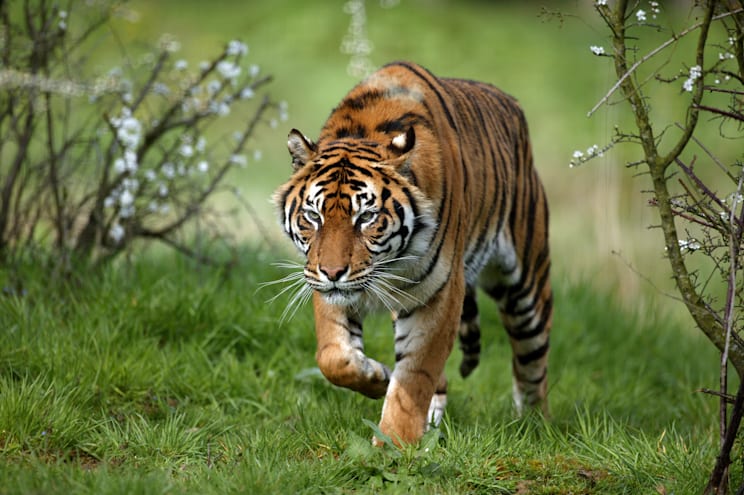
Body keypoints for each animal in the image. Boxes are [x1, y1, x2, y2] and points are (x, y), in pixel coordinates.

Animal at [273, 61, 552, 446]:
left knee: (533, 364)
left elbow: (415, 377)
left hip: (527, 288)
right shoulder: (322, 283)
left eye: (366, 217)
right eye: (313, 216)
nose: (333, 273)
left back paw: (535, 427)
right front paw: (377, 378)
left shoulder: (439, 292)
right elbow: (333, 357)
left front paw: (394, 443)